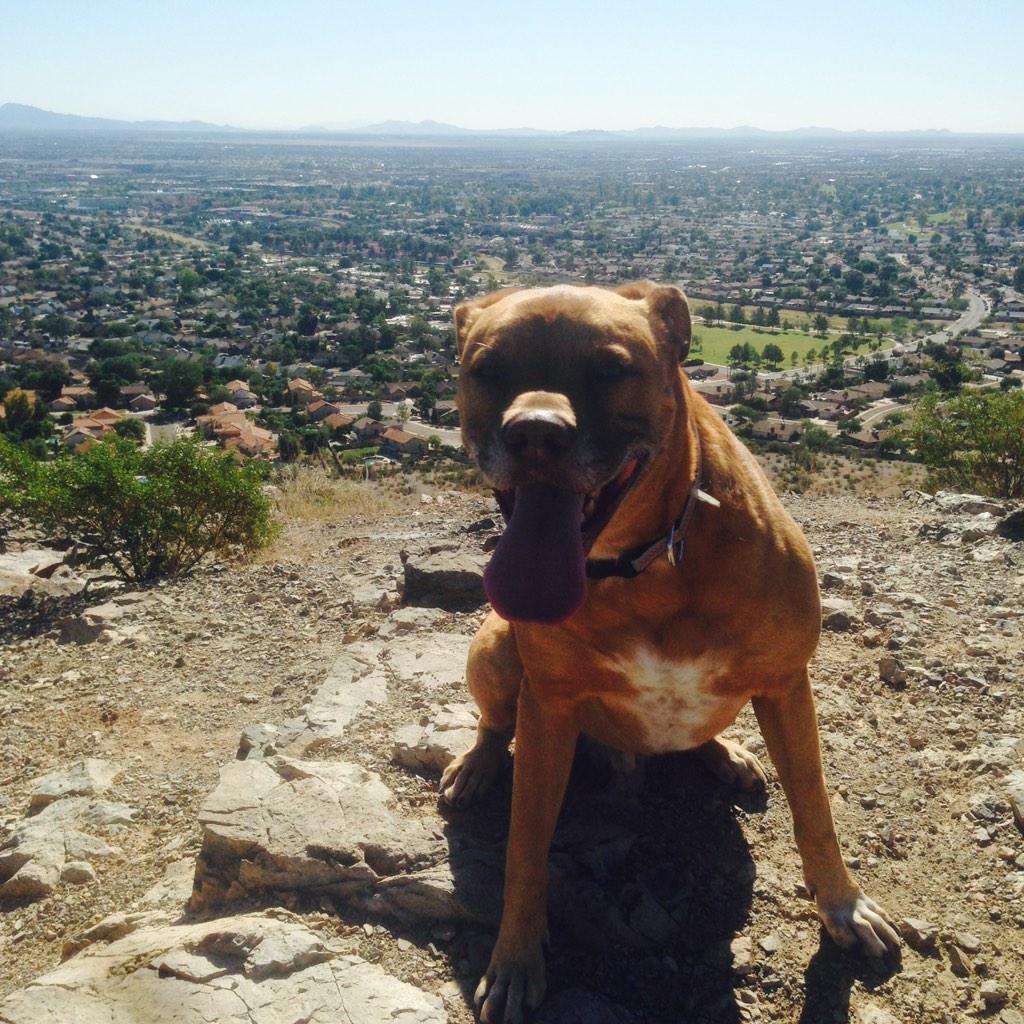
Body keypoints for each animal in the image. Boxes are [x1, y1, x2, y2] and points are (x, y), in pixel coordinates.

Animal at [440, 282, 897, 1024]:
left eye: (610, 368)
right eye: (488, 370)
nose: (535, 433)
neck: (644, 564)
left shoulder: (786, 684)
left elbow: (815, 809)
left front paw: (843, 907)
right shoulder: (549, 710)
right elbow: (525, 848)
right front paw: (514, 959)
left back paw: (729, 755)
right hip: (496, 645)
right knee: (493, 722)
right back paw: (478, 764)